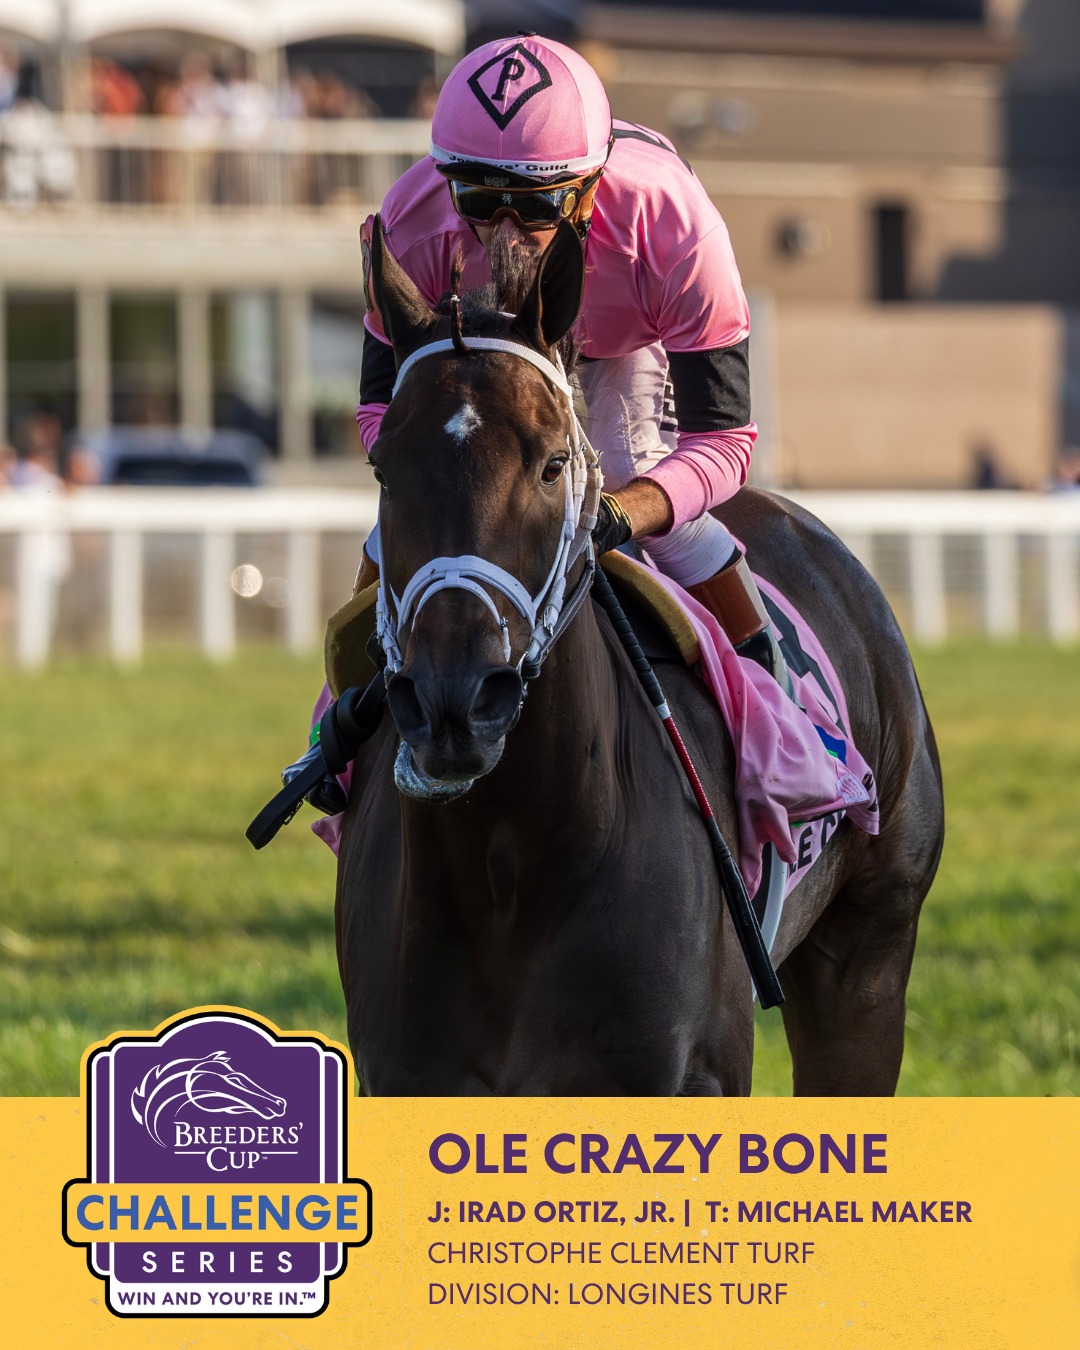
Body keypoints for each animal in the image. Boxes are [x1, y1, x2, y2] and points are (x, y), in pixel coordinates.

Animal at [333, 218, 944, 1096]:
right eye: (384, 467)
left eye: (554, 462)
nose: (455, 700)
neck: (512, 870)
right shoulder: (413, 1074)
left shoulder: (688, 1076)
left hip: (870, 954)